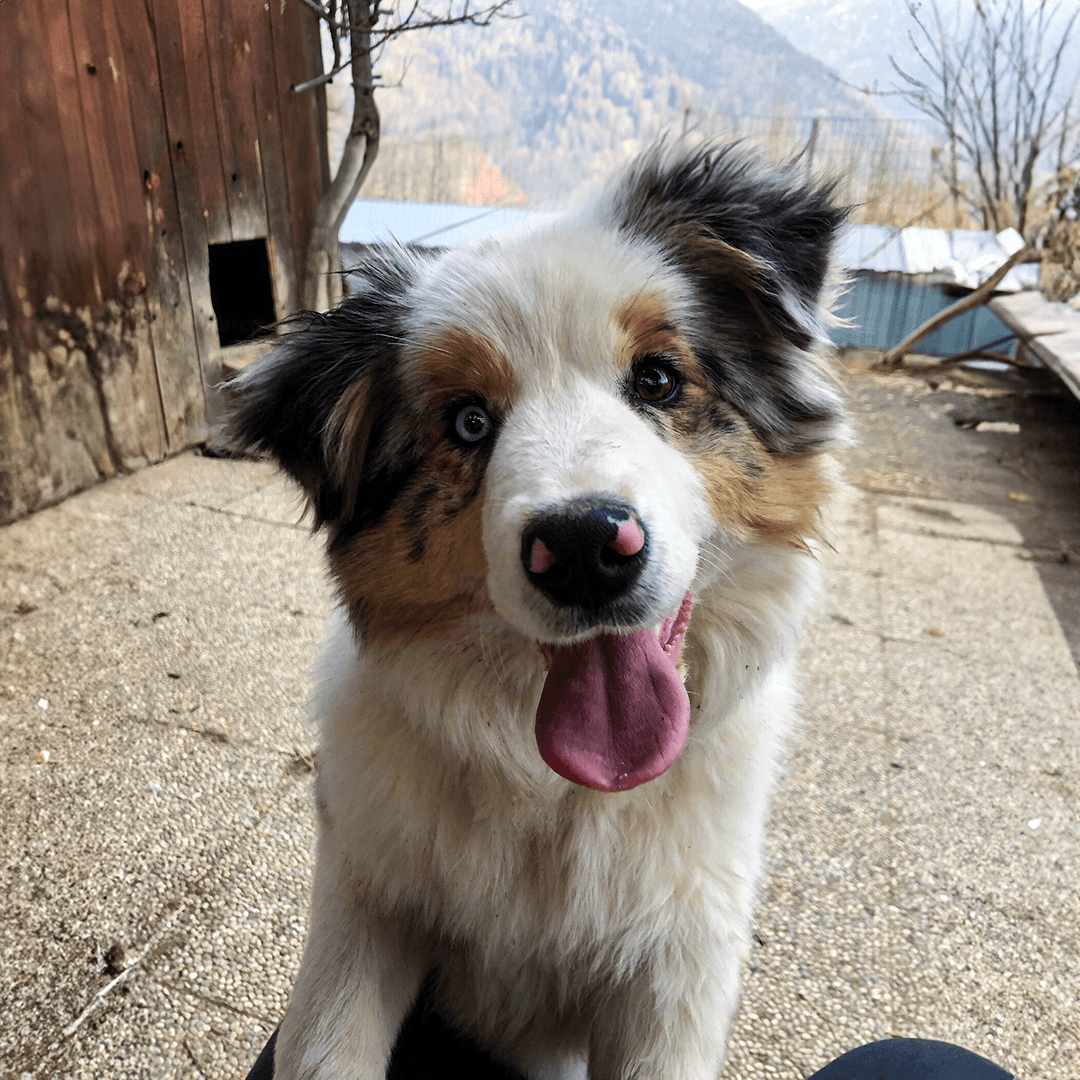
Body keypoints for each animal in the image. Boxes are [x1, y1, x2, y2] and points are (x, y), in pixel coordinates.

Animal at [225, 145, 842, 1080]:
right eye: (469, 422)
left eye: (657, 379)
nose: (585, 547)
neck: (559, 797)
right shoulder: (363, 901)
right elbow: (329, 1046)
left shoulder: (679, 970)